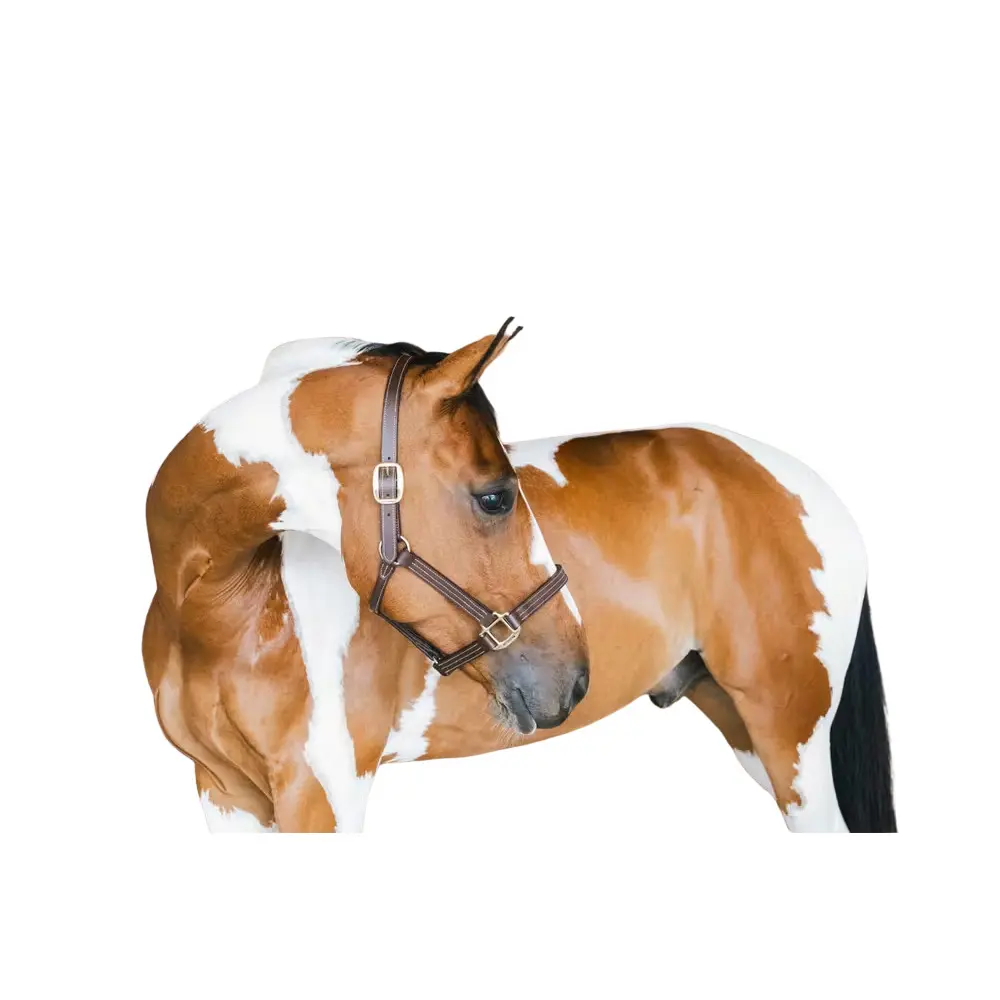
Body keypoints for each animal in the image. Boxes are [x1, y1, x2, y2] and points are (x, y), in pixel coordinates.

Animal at [143, 320, 896, 833]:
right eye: (496, 497)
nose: (575, 677)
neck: (231, 607)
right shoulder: (227, 794)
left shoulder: (320, 793)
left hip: (791, 737)